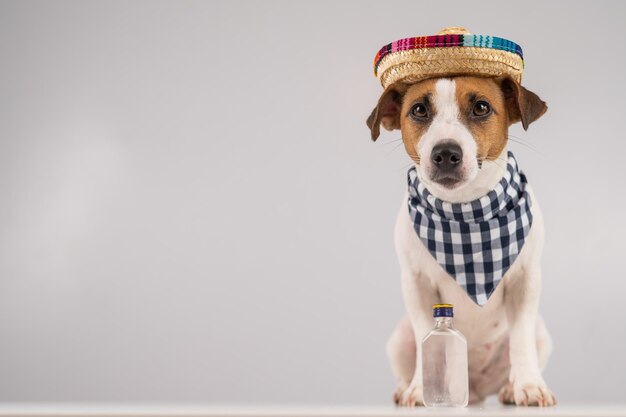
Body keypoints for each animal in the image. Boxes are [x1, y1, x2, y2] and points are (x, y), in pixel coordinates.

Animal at [366, 74, 556, 404]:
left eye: (481, 107)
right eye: (419, 110)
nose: (444, 153)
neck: (465, 212)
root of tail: (474, 388)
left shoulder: (525, 279)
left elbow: (521, 338)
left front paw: (529, 385)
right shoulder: (416, 284)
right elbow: (424, 330)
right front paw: (419, 389)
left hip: (542, 334)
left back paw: (510, 387)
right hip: (399, 340)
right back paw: (406, 388)